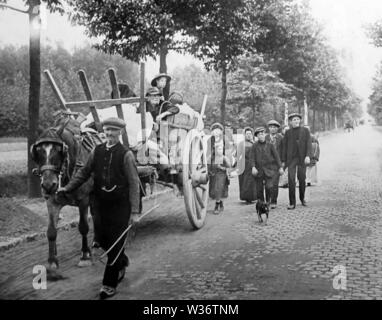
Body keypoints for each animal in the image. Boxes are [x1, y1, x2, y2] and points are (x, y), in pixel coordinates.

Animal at [31, 114, 103, 278]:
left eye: (59, 150)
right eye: (38, 152)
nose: (48, 185)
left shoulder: (83, 200)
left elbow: (83, 227)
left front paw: (84, 256)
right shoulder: (51, 201)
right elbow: (51, 231)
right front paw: (52, 263)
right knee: (97, 214)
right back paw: (97, 241)